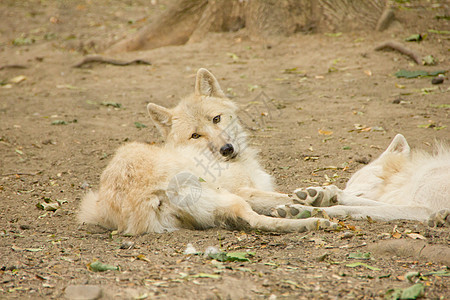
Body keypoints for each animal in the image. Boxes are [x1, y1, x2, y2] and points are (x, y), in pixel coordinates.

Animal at [272, 135, 448, 226]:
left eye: (353, 180)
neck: (407, 179)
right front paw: (318, 194)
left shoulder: (422, 209)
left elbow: (345, 208)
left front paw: (300, 210)